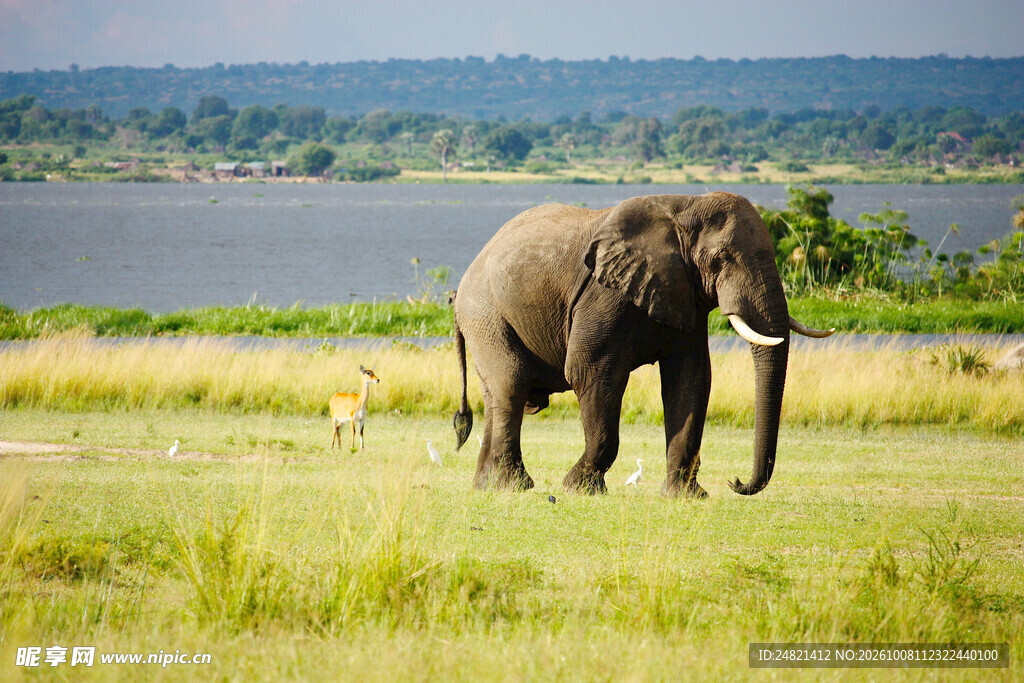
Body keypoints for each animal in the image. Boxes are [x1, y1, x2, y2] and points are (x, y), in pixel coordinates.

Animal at [451, 192, 833, 497]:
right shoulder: (604, 294)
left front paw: (686, 496)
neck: (685, 206)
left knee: (496, 394)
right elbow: (591, 372)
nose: (736, 482)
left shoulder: (683, 293)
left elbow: (690, 380)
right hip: (485, 313)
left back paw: (487, 485)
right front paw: (579, 488)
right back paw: (514, 486)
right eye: (720, 259)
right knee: (511, 384)